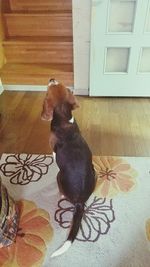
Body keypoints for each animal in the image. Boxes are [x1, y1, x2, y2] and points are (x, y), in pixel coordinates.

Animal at [41, 79, 96, 258]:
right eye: (64, 87)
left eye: (50, 88)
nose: (52, 79)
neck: (65, 117)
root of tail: (80, 202)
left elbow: (53, 155)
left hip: (59, 176)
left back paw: (60, 194)